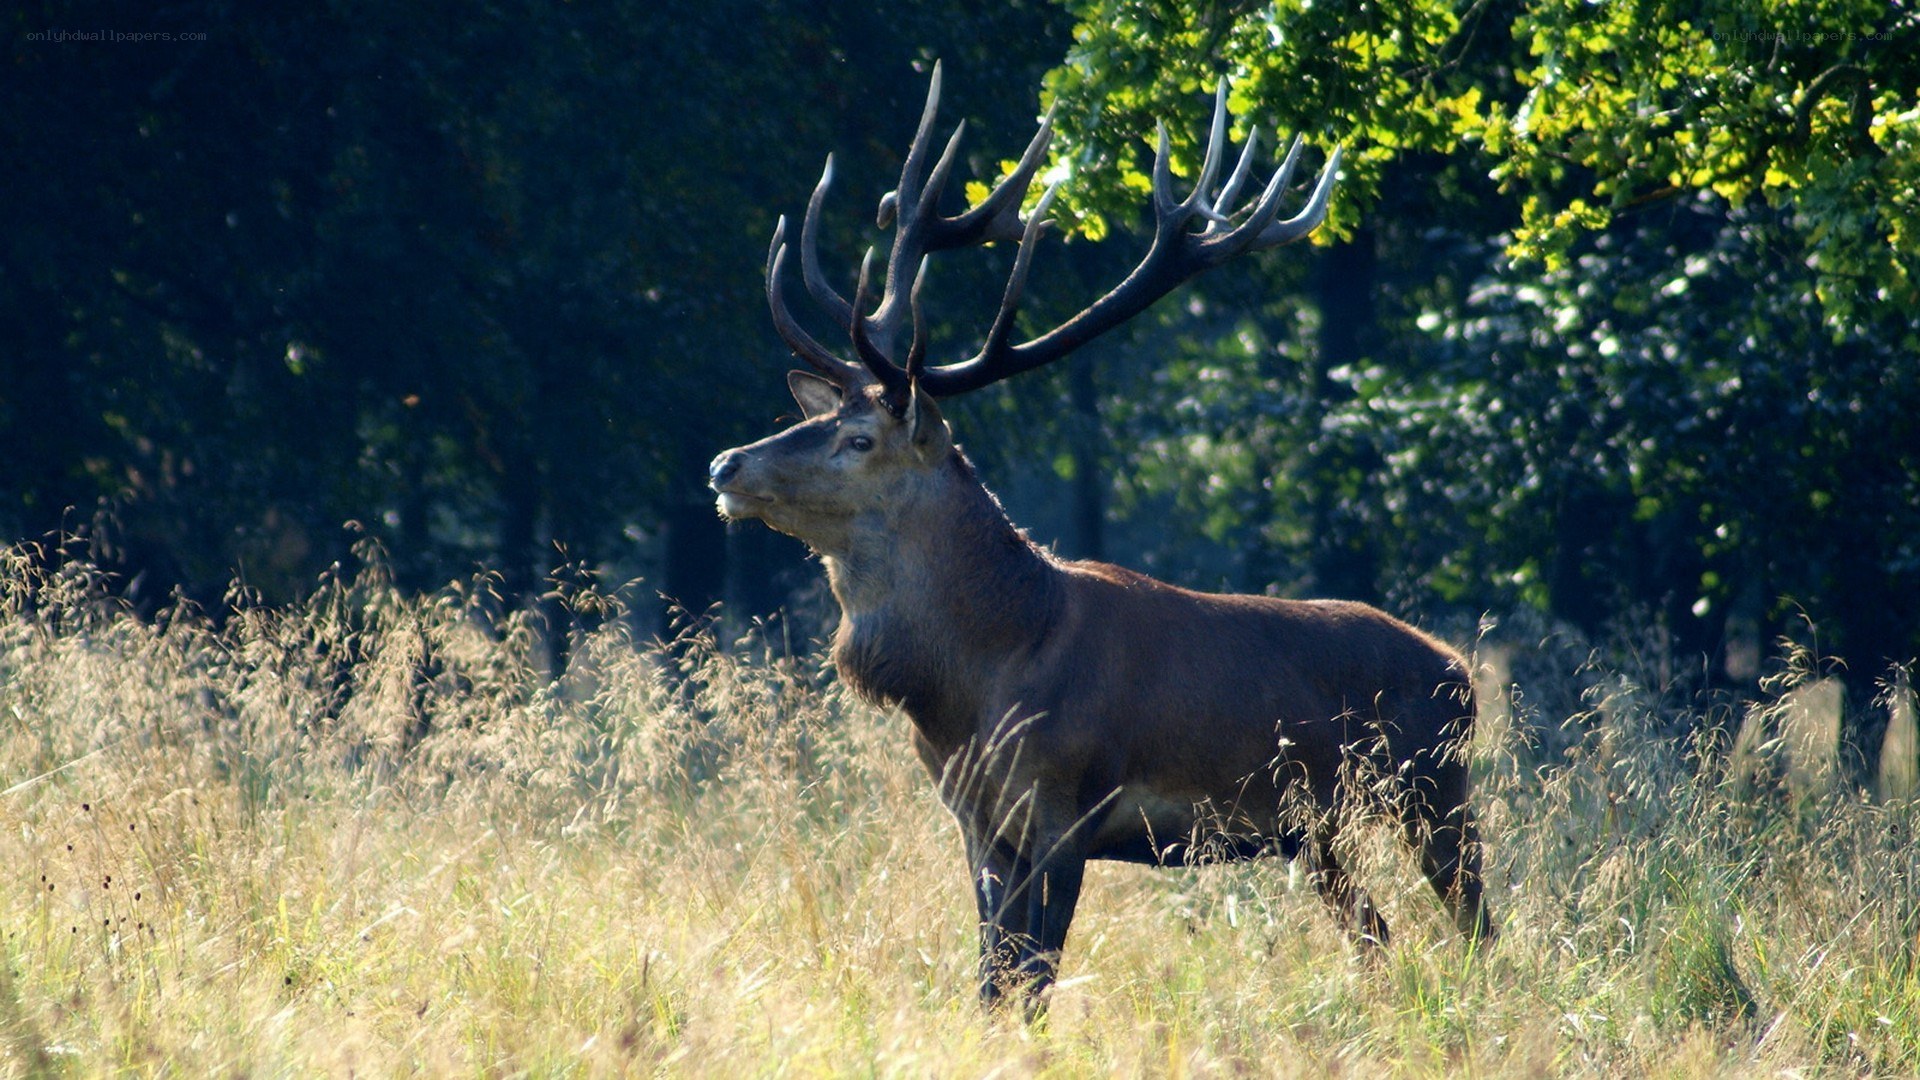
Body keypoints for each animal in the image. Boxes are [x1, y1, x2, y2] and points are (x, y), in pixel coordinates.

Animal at [708, 64, 1494, 1011]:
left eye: (859, 440)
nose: (724, 464)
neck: (977, 680)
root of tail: (1460, 670)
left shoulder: (1066, 806)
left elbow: (1032, 982)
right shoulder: (975, 821)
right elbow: (992, 982)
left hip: (1434, 787)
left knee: (1479, 927)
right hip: (1318, 831)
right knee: (1378, 934)